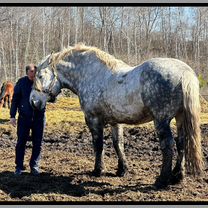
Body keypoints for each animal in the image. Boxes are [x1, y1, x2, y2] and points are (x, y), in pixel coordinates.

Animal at [29, 44, 203, 188]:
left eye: (40, 76)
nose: (33, 101)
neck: (91, 74)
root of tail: (184, 72)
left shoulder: (93, 120)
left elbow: (98, 145)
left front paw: (98, 170)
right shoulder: (115, 122)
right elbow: (118, 144)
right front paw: (122, 170)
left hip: (162, 120)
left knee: (168, 145)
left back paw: (162, 179)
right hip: (180, 118)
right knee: (182, 143)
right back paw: (177, 177)